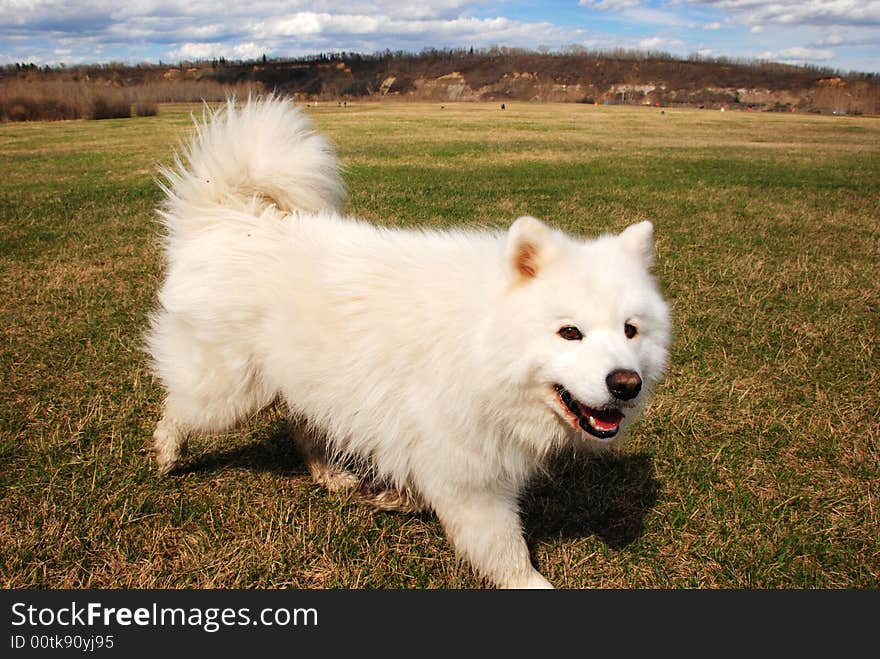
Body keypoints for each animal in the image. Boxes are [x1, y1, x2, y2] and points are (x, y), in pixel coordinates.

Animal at [146, 96, 668, 588]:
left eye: (630, 330)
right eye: (570, 332)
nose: (626, 384)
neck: (483, 341)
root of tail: (231, 216)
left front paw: (393, 498)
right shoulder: (471, 477)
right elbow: (505, 551)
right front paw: (531, 583)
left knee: (303, 427)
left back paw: (331, 475)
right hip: (229, 391)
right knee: (178, 408)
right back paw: (167, 456)